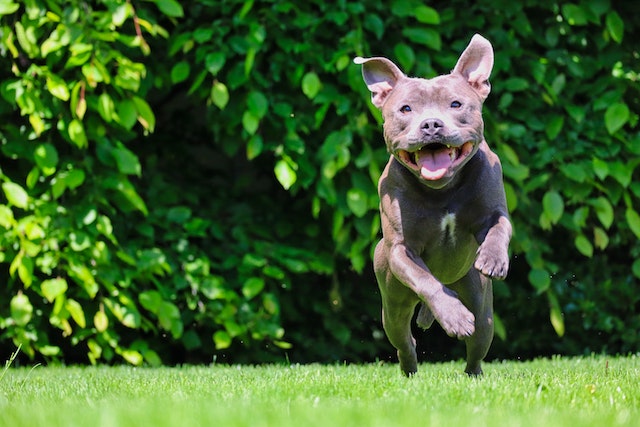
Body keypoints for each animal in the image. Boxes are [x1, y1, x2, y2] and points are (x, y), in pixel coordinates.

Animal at [356, 35, 510, 376]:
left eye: (455, 104)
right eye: (405, 108)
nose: (430, 124)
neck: (442, 189)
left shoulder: (494, 210)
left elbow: (498, 228)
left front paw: (493, 258)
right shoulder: (401, 250)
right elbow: (426, 280)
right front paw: (454, 317)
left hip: (482, 306)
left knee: (477, 344)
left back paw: (474, 376)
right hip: (393, 306)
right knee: (404, 341)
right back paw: (411, 371)